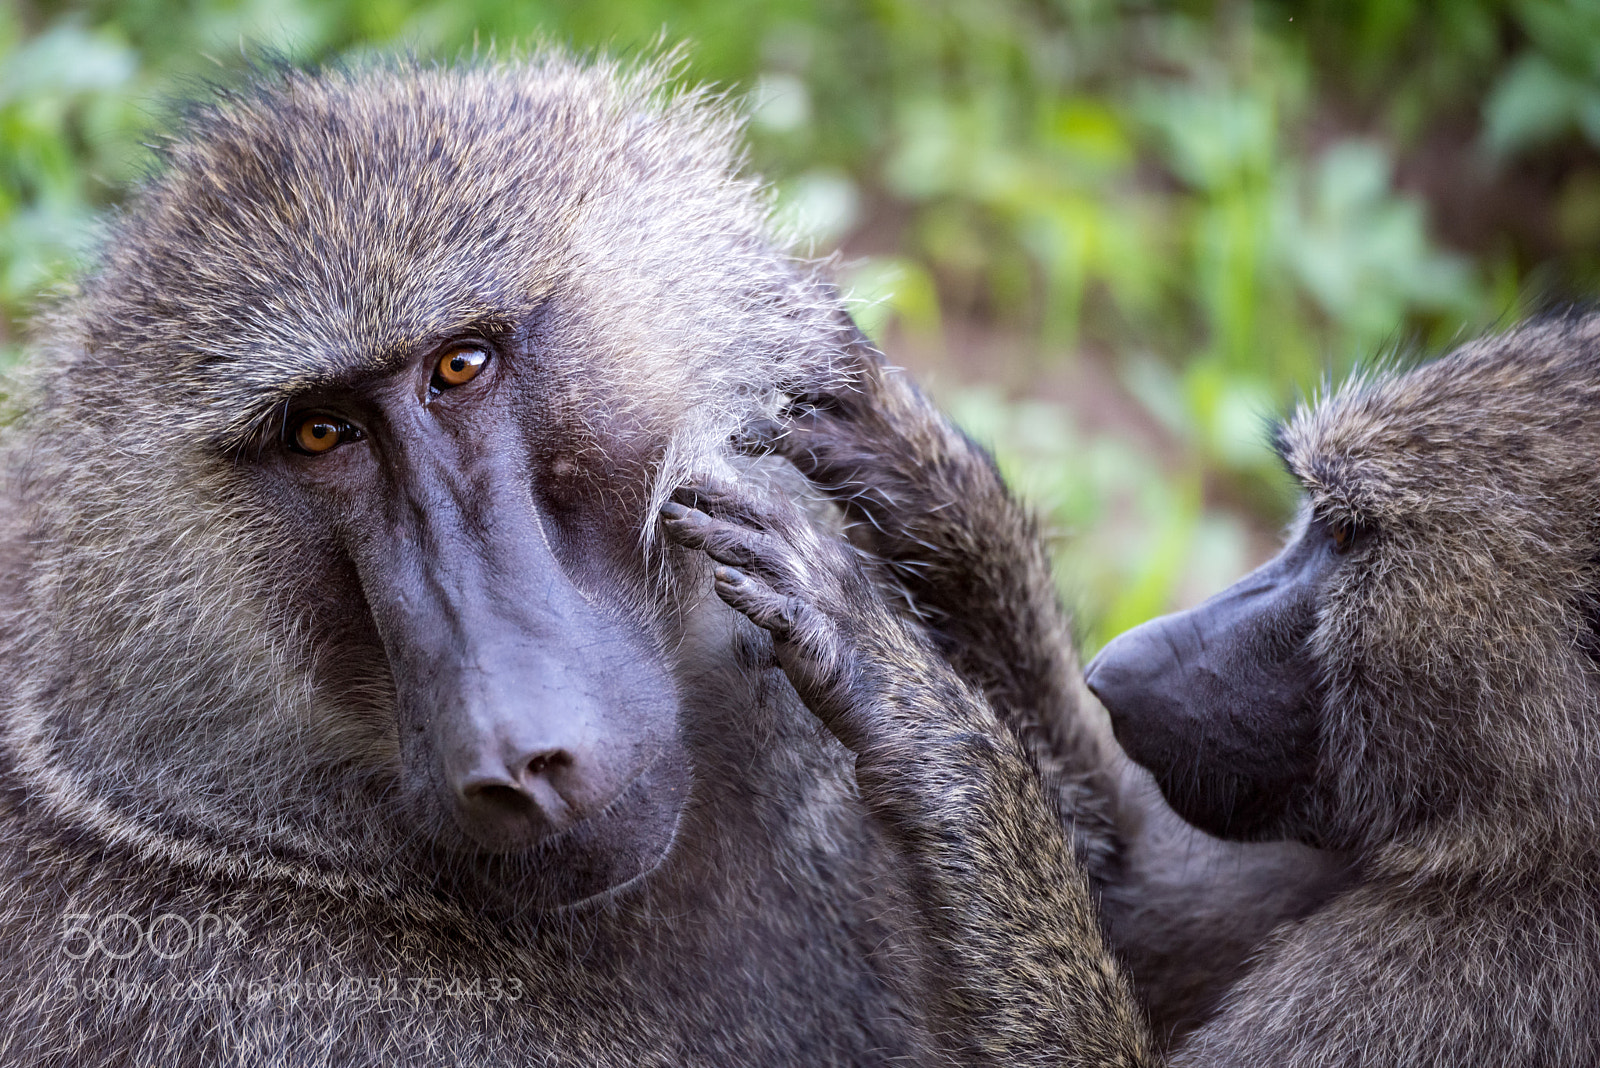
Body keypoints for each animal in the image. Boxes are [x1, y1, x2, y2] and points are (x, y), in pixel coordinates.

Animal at [0, 54, 1156, 1066]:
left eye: (458, 366)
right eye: (320, 434)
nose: (516, 755)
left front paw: (903, 465)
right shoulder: (266, 997)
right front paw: (916, 707)